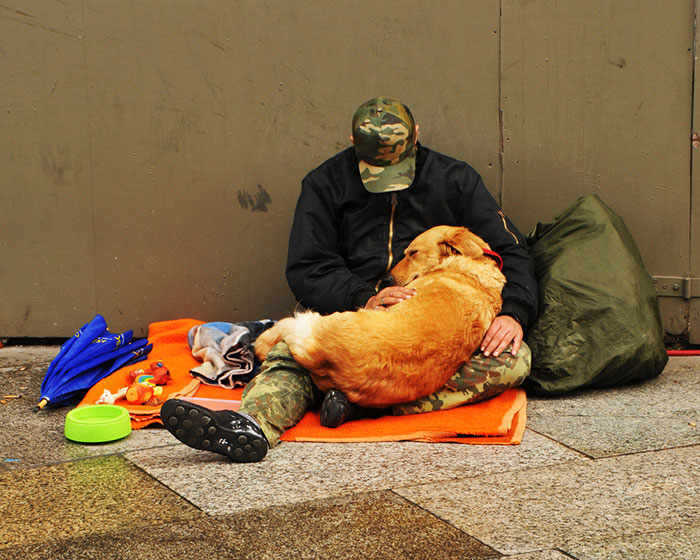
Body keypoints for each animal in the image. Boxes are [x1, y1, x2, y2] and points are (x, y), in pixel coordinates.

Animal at [254, 226, 506, 406]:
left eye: (413, 252)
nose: (385, 281)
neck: (471, 267)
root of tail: (323, 357)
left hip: (314, 321)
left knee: (277, 333)